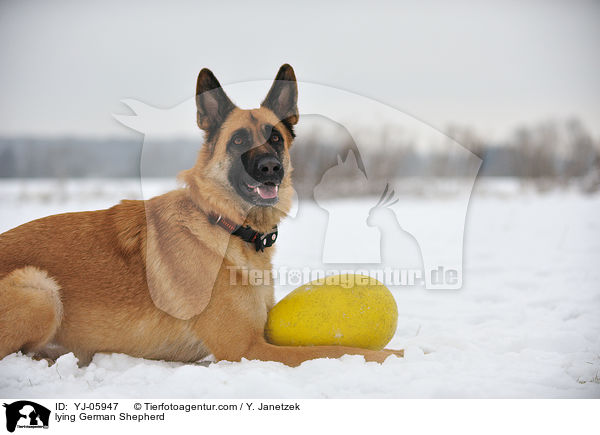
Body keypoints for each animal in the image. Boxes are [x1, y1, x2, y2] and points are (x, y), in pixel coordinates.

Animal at [0, 63, 406, 368]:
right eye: (239, 140)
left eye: (275, 138)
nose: (271, 169)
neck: (227, 226)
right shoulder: (247, 350)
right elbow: (339, 349)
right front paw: (401, 352)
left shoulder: (262, 333)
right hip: (39, 288)